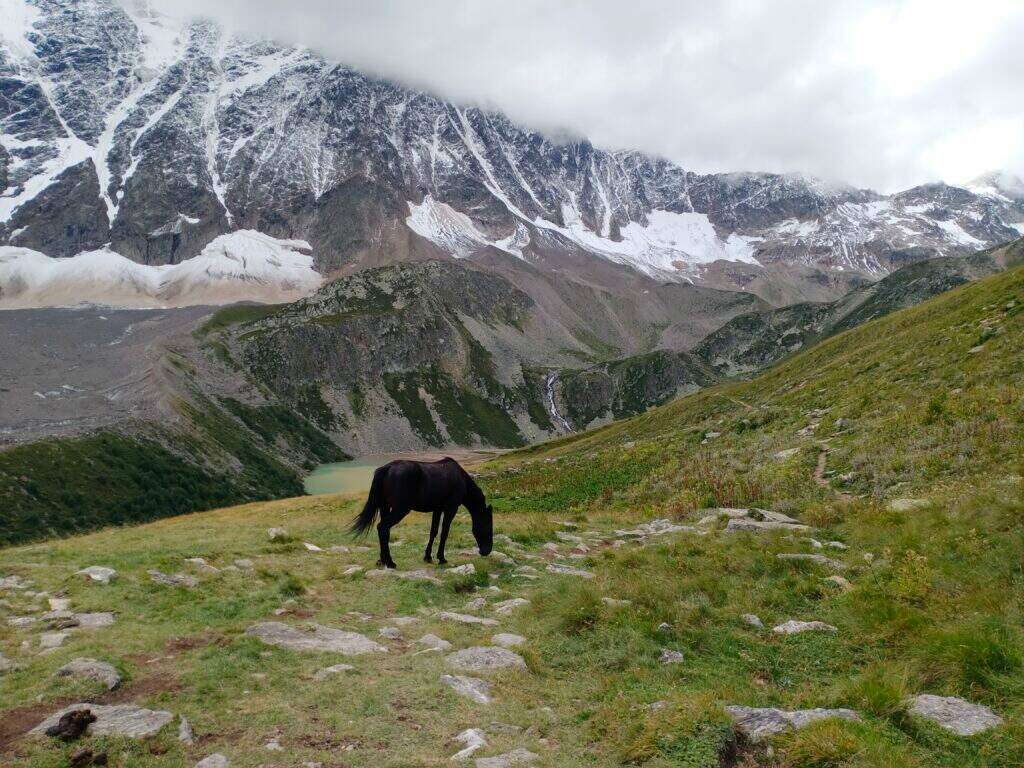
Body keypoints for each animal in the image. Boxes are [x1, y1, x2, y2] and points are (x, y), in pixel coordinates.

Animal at [350, 456, 493, 573]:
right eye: (488, 527)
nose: (486, 551)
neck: (460, 478)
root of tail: (387, 468)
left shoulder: (437, 509)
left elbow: (433, 532)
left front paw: (428, 557)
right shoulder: (450, 509)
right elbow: (444, 533)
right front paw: (441, 558)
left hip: (385, 507)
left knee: (384, 531)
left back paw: (382, 560)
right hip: (400, 510)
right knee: (383, 527)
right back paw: (390, 562)